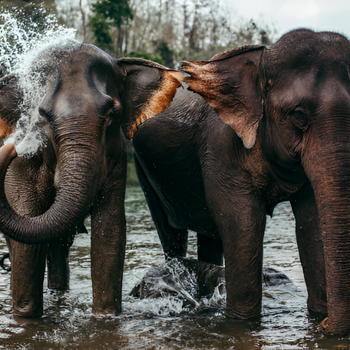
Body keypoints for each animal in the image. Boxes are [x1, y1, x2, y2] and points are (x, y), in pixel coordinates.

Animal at [0, 42, 183, 318]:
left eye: (111, 113)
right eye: (42, 115)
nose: (11, 148)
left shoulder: (115, 159)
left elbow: (110, 231)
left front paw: (105, 317)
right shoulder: (23, 166)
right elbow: (27, 243)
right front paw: (25, 317)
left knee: (59, 246)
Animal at [131, 28, 350, 334]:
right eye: (298, 115)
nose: (326, 325)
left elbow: (312, 222)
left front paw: (318, 315)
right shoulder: (221, 147)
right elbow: (243, 223)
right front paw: (242, 324)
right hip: (142, 167)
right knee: (170, 230)